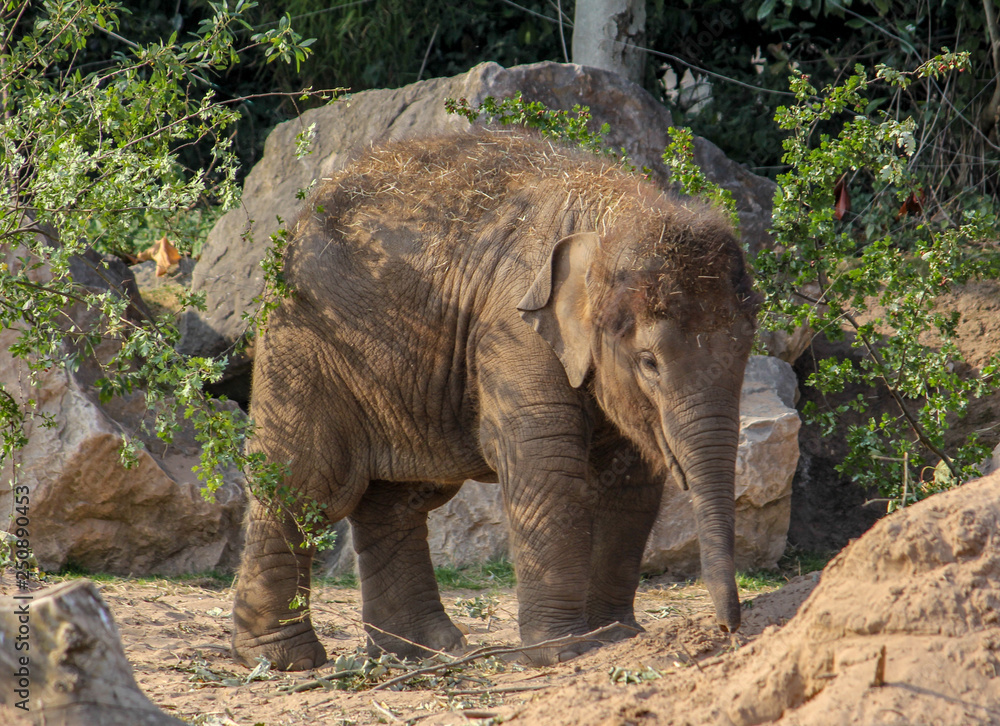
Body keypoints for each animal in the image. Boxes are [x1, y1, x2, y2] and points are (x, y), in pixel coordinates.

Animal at [231, 128, 760, 671]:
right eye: (649, 361)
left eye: (746, 348)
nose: (727, 629)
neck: (614, 217)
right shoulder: (513, 329)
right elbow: (545, 459)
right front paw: (564, 651)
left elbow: (631, 479)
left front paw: (619, 636)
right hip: (303, 342)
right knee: (303, 484)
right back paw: (283, 659)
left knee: (398, 499)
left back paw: (421, 651)